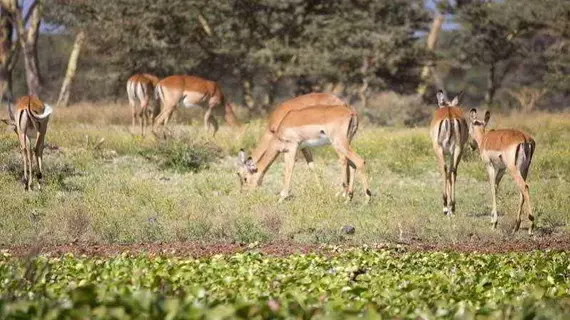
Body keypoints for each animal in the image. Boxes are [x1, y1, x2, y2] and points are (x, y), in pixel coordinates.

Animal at [235, 104, 368, 202]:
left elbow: (289, 169)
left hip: (338, 143)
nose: (243, 194)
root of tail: (351, 112)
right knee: (352, 164)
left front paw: (282, 197)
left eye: (245, 178)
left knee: (355, 161)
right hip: (347, 142)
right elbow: (310, 166)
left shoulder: (292, 147)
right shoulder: (297, 148)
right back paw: (348, 198)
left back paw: (362, 198)